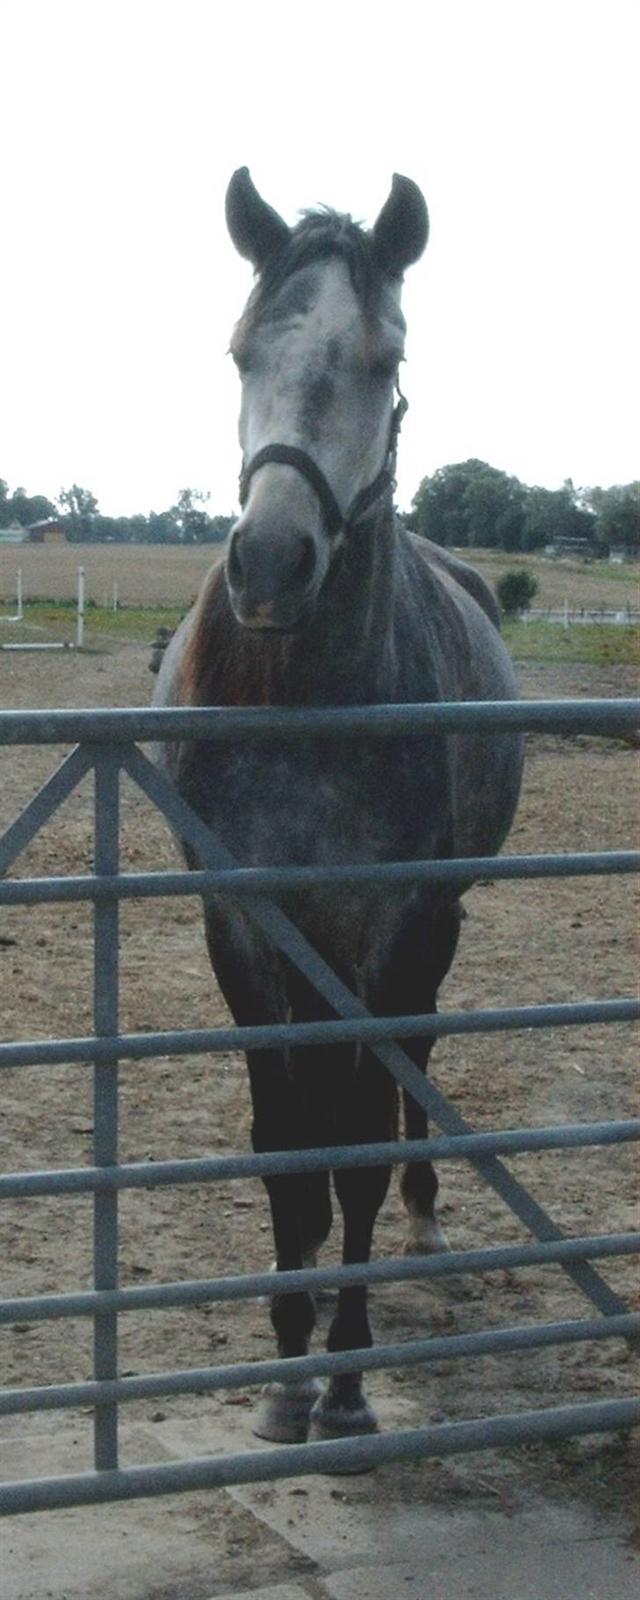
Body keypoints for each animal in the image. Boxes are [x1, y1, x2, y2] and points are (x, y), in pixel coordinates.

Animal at [153, 172, 518, 1452]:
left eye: (382, 355)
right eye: (240, 348)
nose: (269, 562)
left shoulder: (398, 923)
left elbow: (355, 1137)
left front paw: (348, 1379)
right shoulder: (247, 923)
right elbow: (285, 1143)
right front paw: (285, 1367)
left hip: (430, 931)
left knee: (411, 1055)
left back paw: (420, 1214)